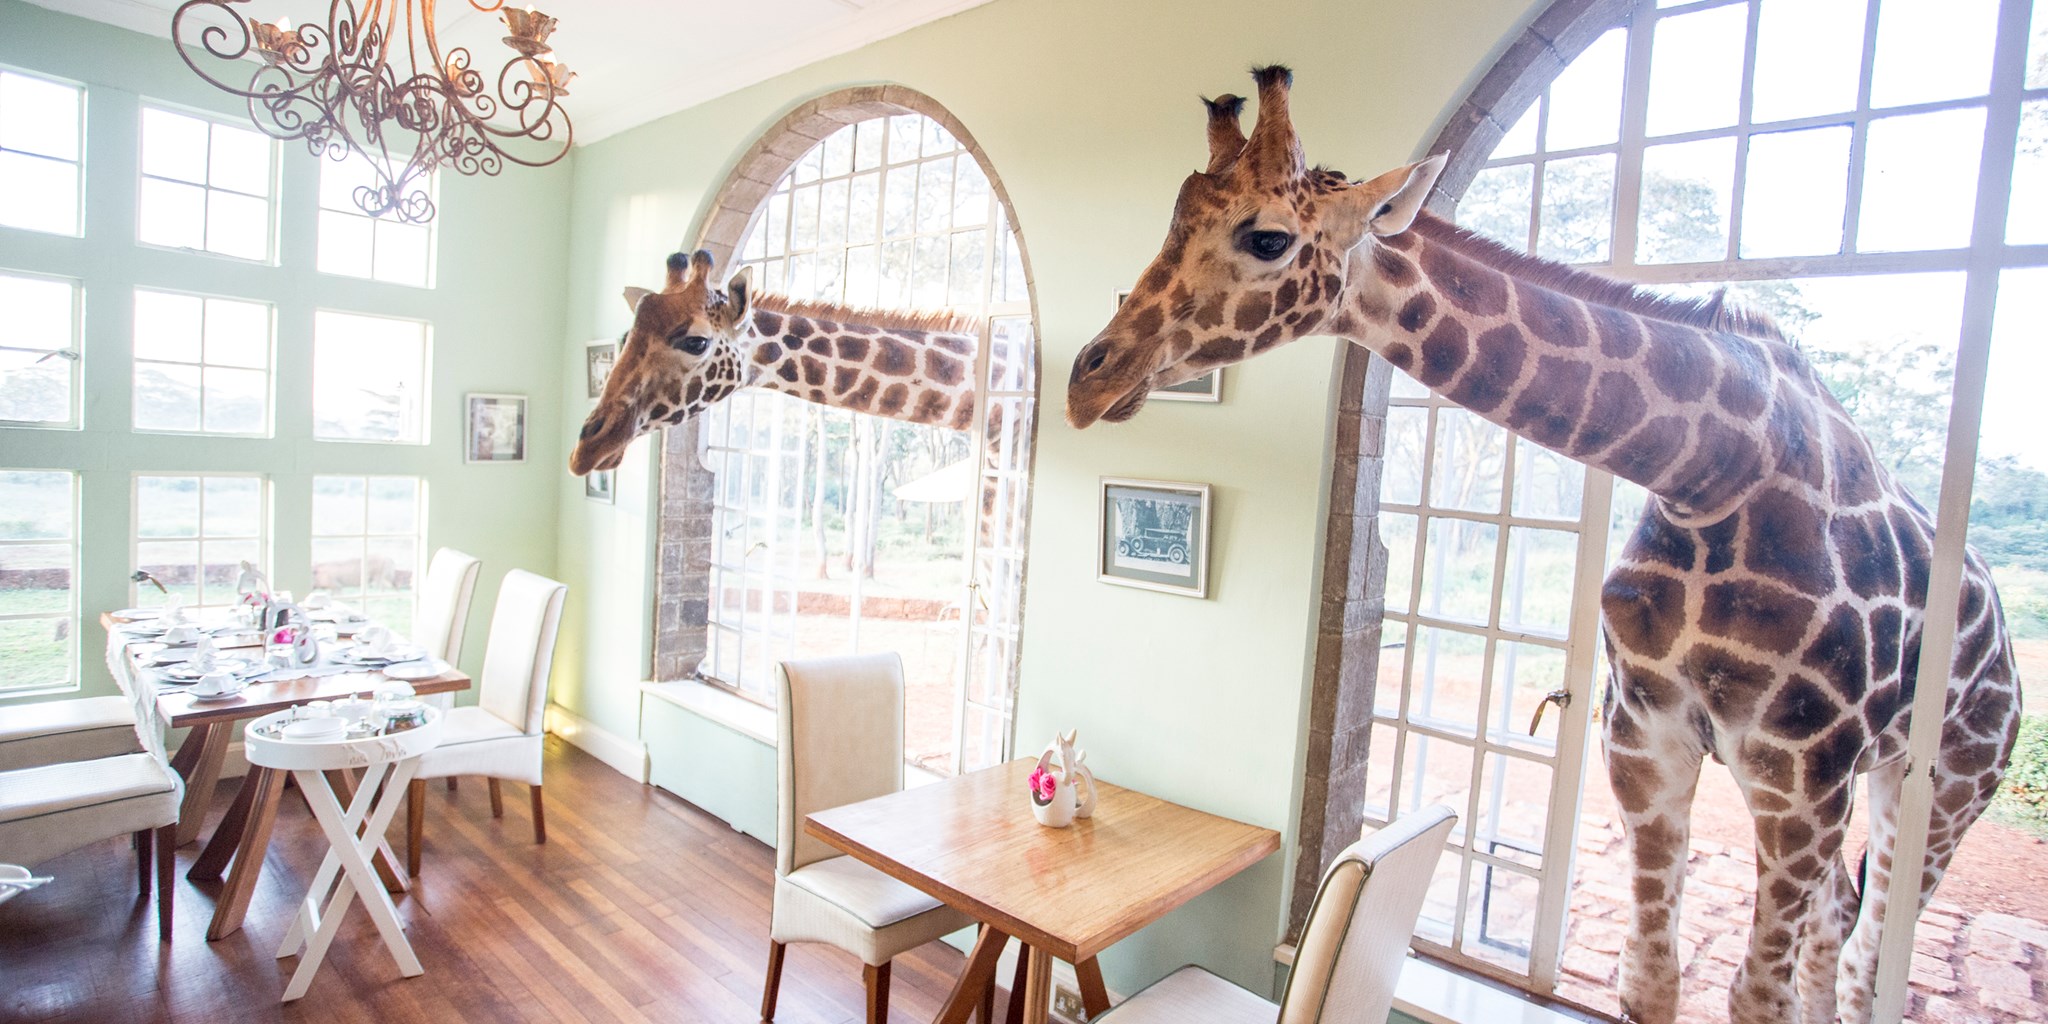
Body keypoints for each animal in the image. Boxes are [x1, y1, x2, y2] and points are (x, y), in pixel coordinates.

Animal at [1065, 67, 2021, 1024]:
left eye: (1266, 237)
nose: (1088, 379)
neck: (1715, 469)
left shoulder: (1802, 779)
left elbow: (1756, 995)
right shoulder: (1644, 746)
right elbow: (1650, 980)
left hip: (1938, 785)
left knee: (1862, 953)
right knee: (1835, 931)